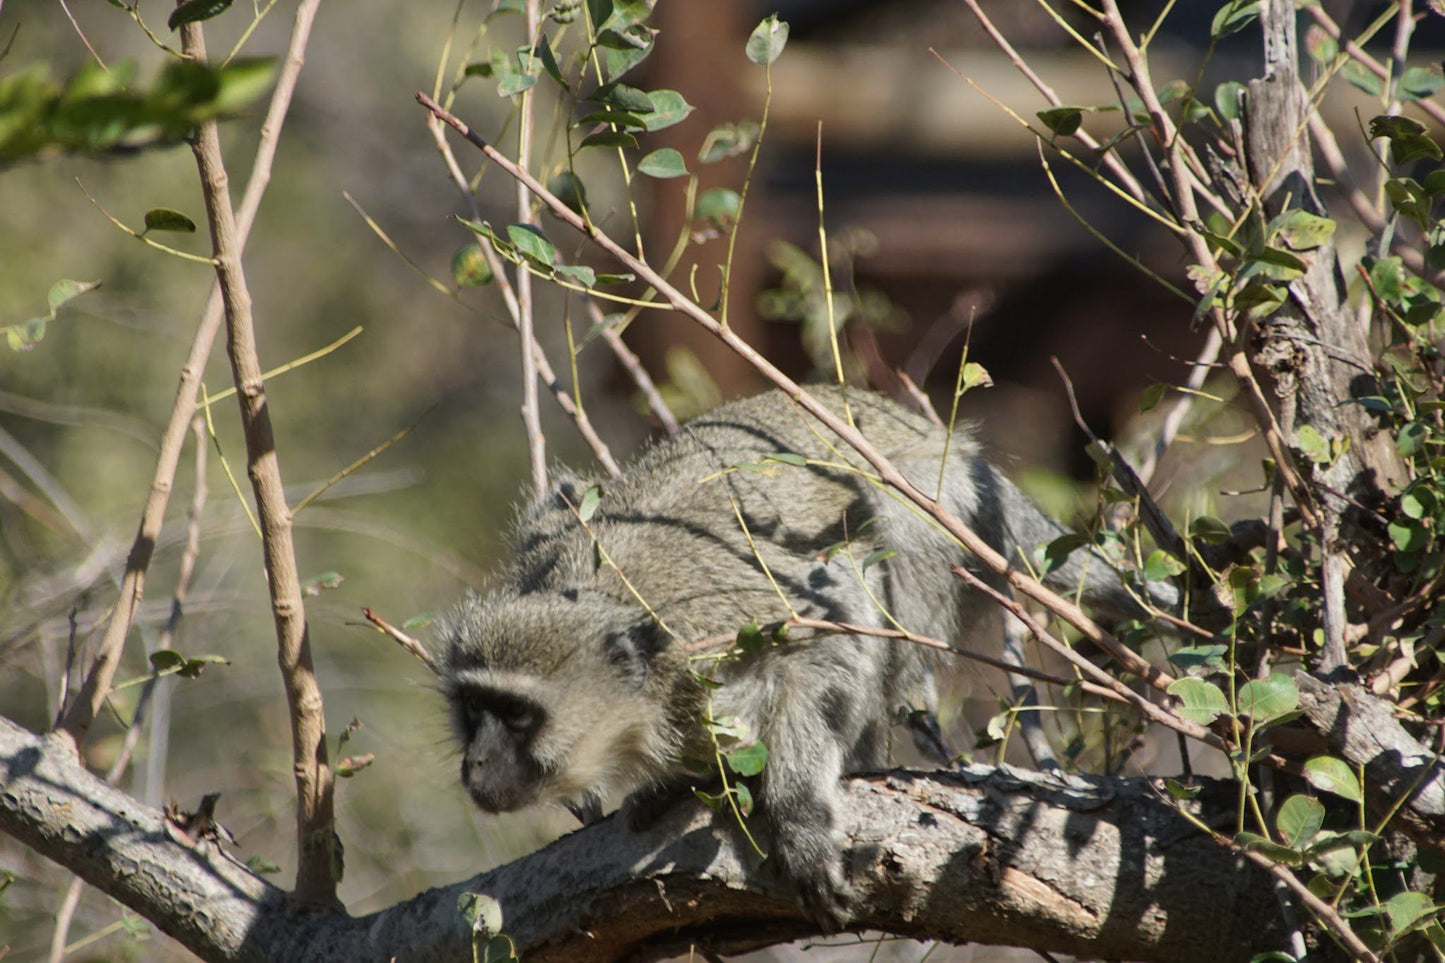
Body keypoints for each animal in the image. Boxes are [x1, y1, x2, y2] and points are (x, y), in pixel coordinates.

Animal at [436, 384, 1161, 925]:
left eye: (518, 715)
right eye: (473, 708)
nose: (476, 764)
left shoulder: (727, 621)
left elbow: (828, 642)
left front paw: (799, 817)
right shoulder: (544, 549)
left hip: (935, 492)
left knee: (891, 535)